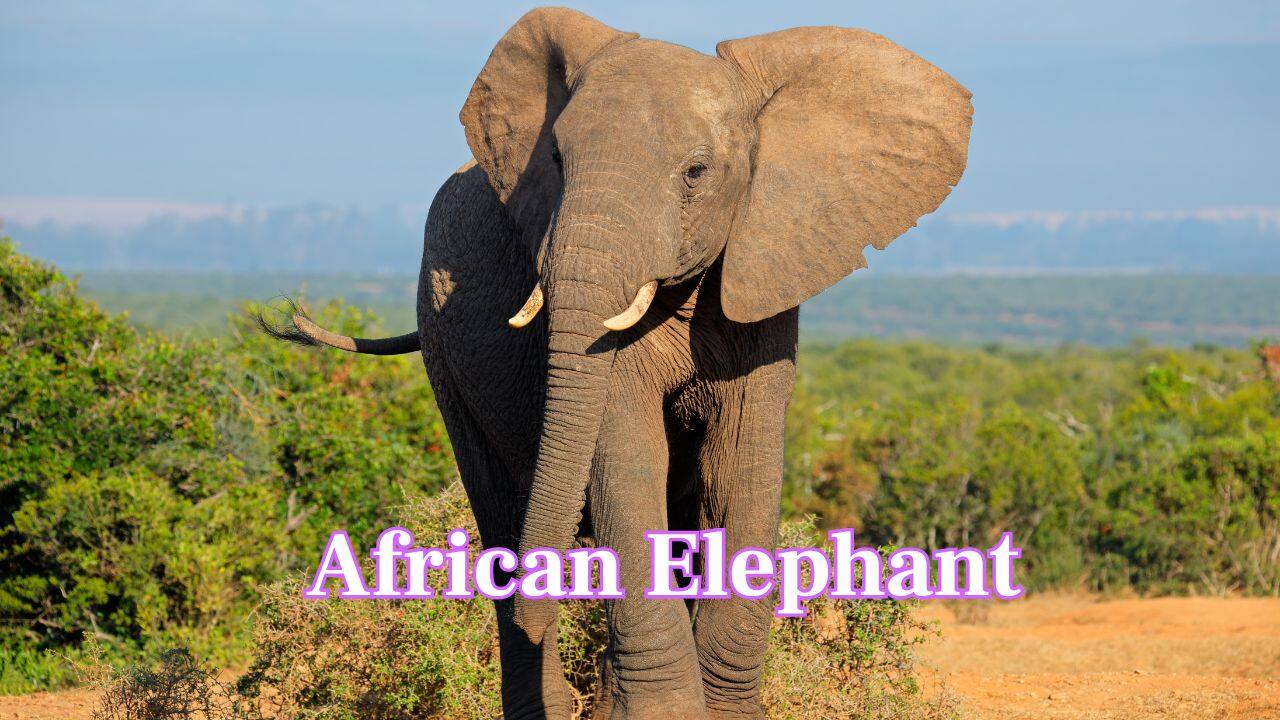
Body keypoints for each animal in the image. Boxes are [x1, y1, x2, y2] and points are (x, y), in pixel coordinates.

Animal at [266, 7, 971, 719]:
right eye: (555, 158)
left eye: (696, 172)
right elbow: (627, 459)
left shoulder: (765, 276)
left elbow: (738, 466)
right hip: (442, 345)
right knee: (499, 508)